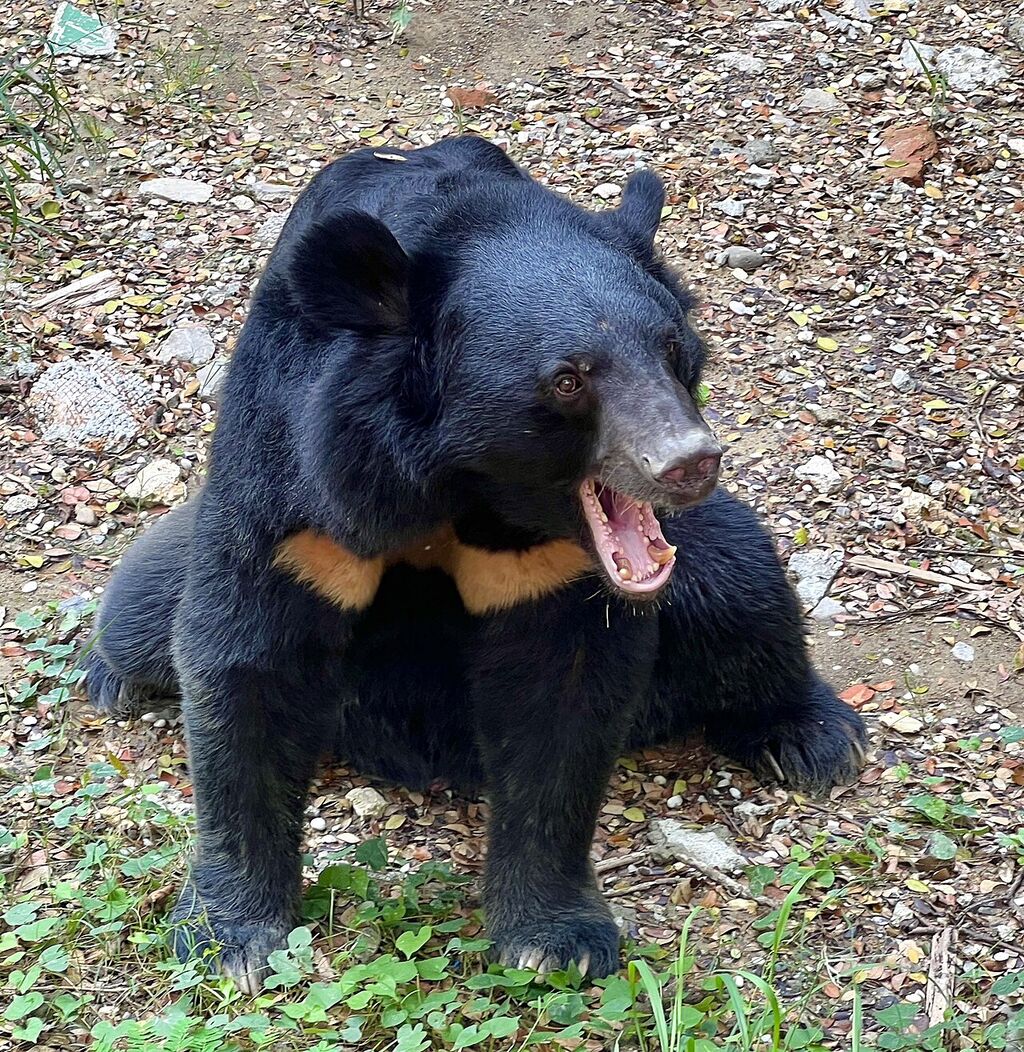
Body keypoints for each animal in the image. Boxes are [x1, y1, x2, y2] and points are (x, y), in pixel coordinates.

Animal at [85, 135, 867, 992]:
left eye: (672, 350)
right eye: (569, 379)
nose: (688, 463)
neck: (459, 481)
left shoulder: (556, 561)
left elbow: (565, 695)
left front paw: (554, 940)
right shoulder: (297, 490)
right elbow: (246, 657)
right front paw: (232, 938)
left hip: (708, 557)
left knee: (745, 586)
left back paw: (813, 737)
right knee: (142, 609)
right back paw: (110, 678)